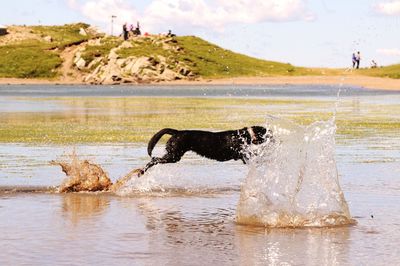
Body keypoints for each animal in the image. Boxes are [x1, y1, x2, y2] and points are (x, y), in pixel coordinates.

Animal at [138, 126, 272, 176]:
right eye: (267, 131)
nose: (273, 133)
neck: (245, 135)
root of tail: (177, 132)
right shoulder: (244, 155)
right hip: (174, 155)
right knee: (154, 160)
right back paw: (141, 172)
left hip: (173, 155)